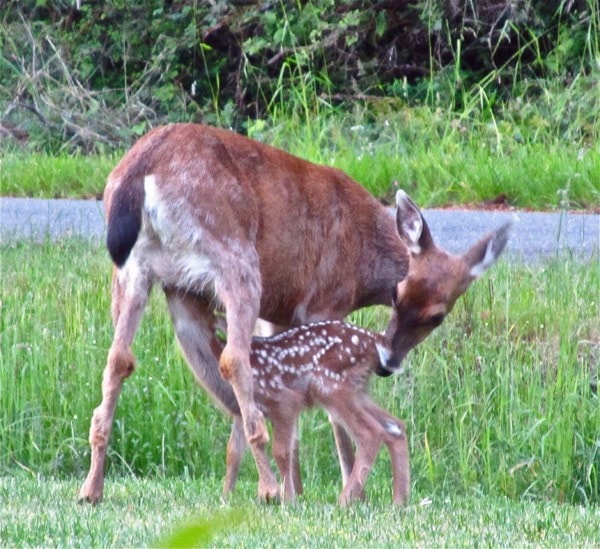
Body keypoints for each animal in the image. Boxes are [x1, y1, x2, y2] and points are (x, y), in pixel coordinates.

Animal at [78, 123, 510, 500]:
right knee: (233, 358)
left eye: (436, 316)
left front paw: (288, 489)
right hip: (235, 258)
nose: (389, 363)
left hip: (146, 274)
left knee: (118, 359)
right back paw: (270, 488)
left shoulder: (280, 312)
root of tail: (142, 167)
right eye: (398, 291)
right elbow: (328, 412)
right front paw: (342, 488)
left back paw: (92, 489)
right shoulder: (322, 304)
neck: (364, 261)